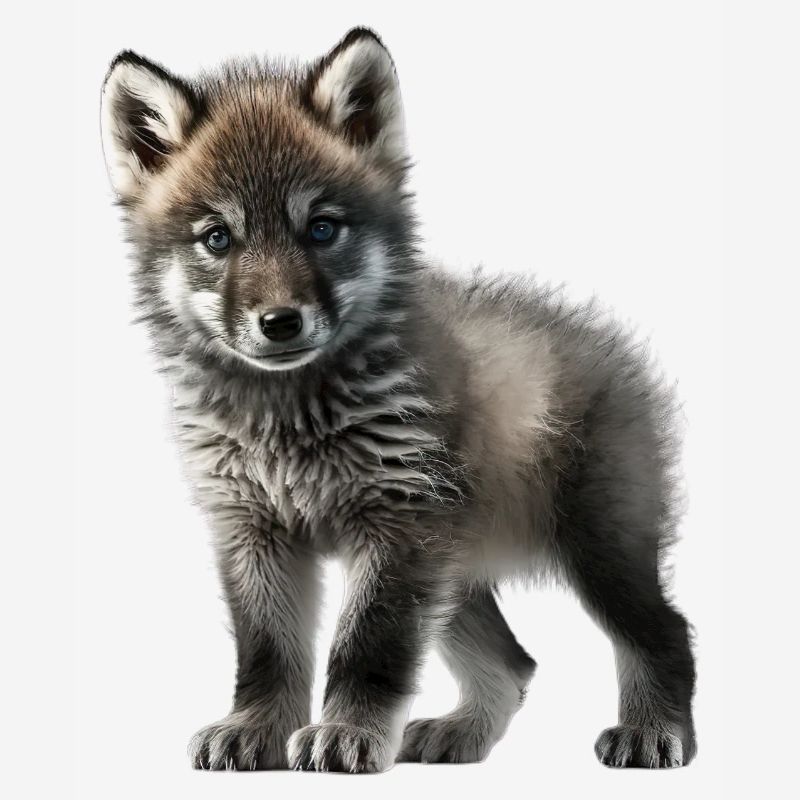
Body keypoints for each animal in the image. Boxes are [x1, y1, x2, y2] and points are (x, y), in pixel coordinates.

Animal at [100, 28, 696, 772]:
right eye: (218, 239)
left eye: (321, 229)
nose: (280, 322)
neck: (290, 414)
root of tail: (610, 344)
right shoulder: (253, 530)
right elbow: (267, 651)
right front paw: (256, 727)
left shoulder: (397, 527)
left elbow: (367, 647)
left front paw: (345, 732)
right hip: (453, 575)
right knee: (515, 663)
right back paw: (461, 732)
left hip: (599, 549)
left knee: (663, 633)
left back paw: (653, 729)